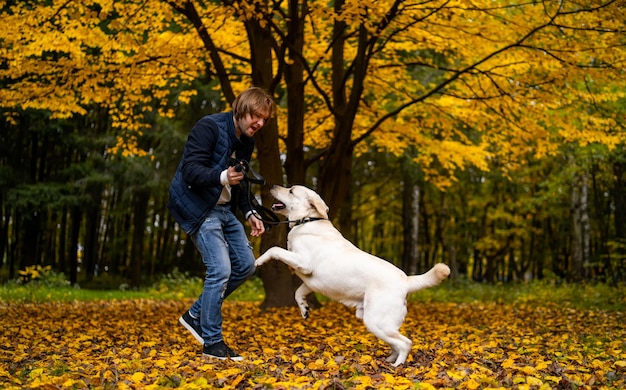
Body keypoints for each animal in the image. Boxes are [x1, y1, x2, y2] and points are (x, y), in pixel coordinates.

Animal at [254, 184, 448, 368]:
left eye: (291, 190)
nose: (272, 186)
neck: (307, 220)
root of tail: (406, 280)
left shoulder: (304, 263)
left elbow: (274, 249)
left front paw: (258, 261)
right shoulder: (309, 282)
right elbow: (298, 293)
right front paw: (304, 309)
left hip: (376, 321)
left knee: (405, 343)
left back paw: (397, 365)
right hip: (380, 323)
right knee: (396, 344)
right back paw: (389, 360)